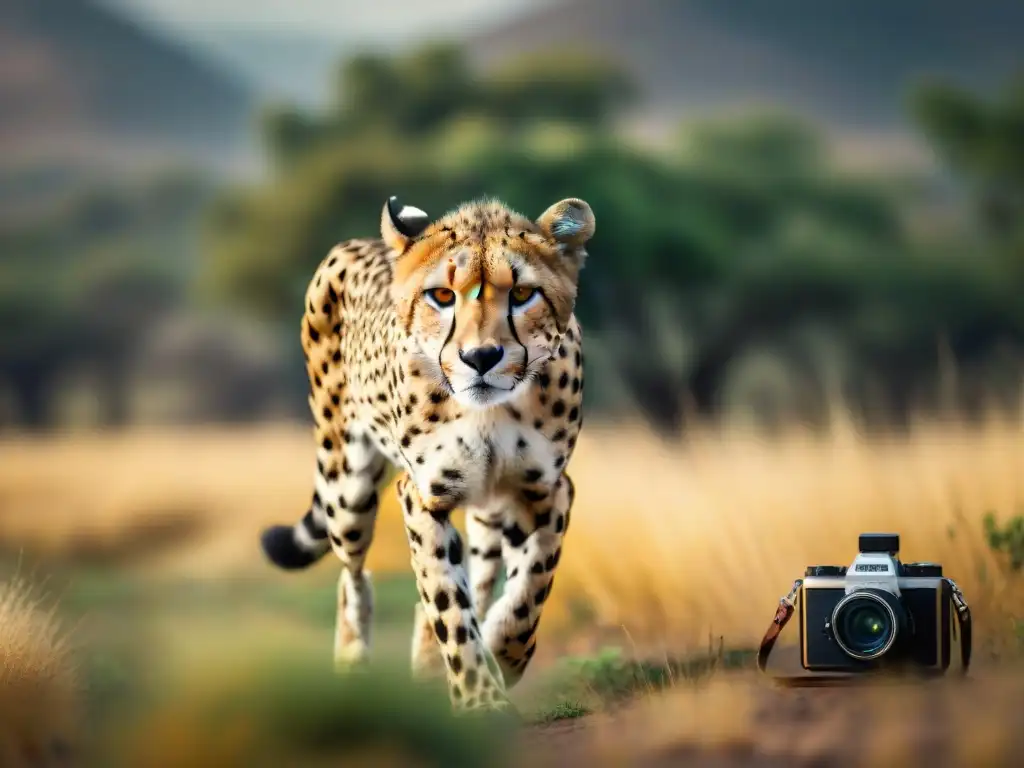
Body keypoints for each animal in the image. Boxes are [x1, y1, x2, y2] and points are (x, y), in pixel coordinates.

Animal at [260, 195, 593, 712]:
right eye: (442, 296)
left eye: (522, 294)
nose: (481, 357)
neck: (489, 412)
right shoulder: (422, 495)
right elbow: (447, 603)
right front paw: (479, 698)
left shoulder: (545, 491)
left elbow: (529, 590)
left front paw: (503, 655)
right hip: (346, 491)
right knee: (353, 579)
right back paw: (354, 665)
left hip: (483, 510)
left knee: (476, 574)